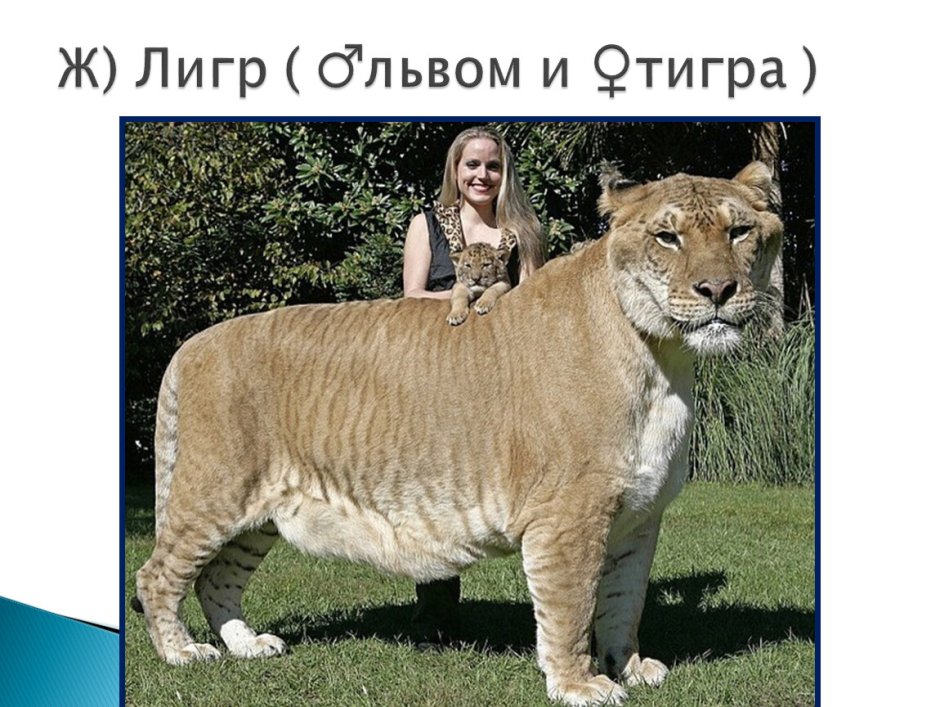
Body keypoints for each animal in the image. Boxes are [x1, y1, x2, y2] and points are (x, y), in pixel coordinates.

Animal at [133, 162, 782, 706]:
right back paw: (183, 653)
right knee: (157, 574)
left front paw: (631, 668)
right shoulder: (567, 516)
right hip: (213, 491)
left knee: (217, 578)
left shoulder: (640, 515)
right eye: (667, 238)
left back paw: (246, 645)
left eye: (740, 231)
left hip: (258, 513)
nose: (718, 291)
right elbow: (572, 606)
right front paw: (580, 685)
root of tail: (191, 344)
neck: (663, 358)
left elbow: (624, 603)